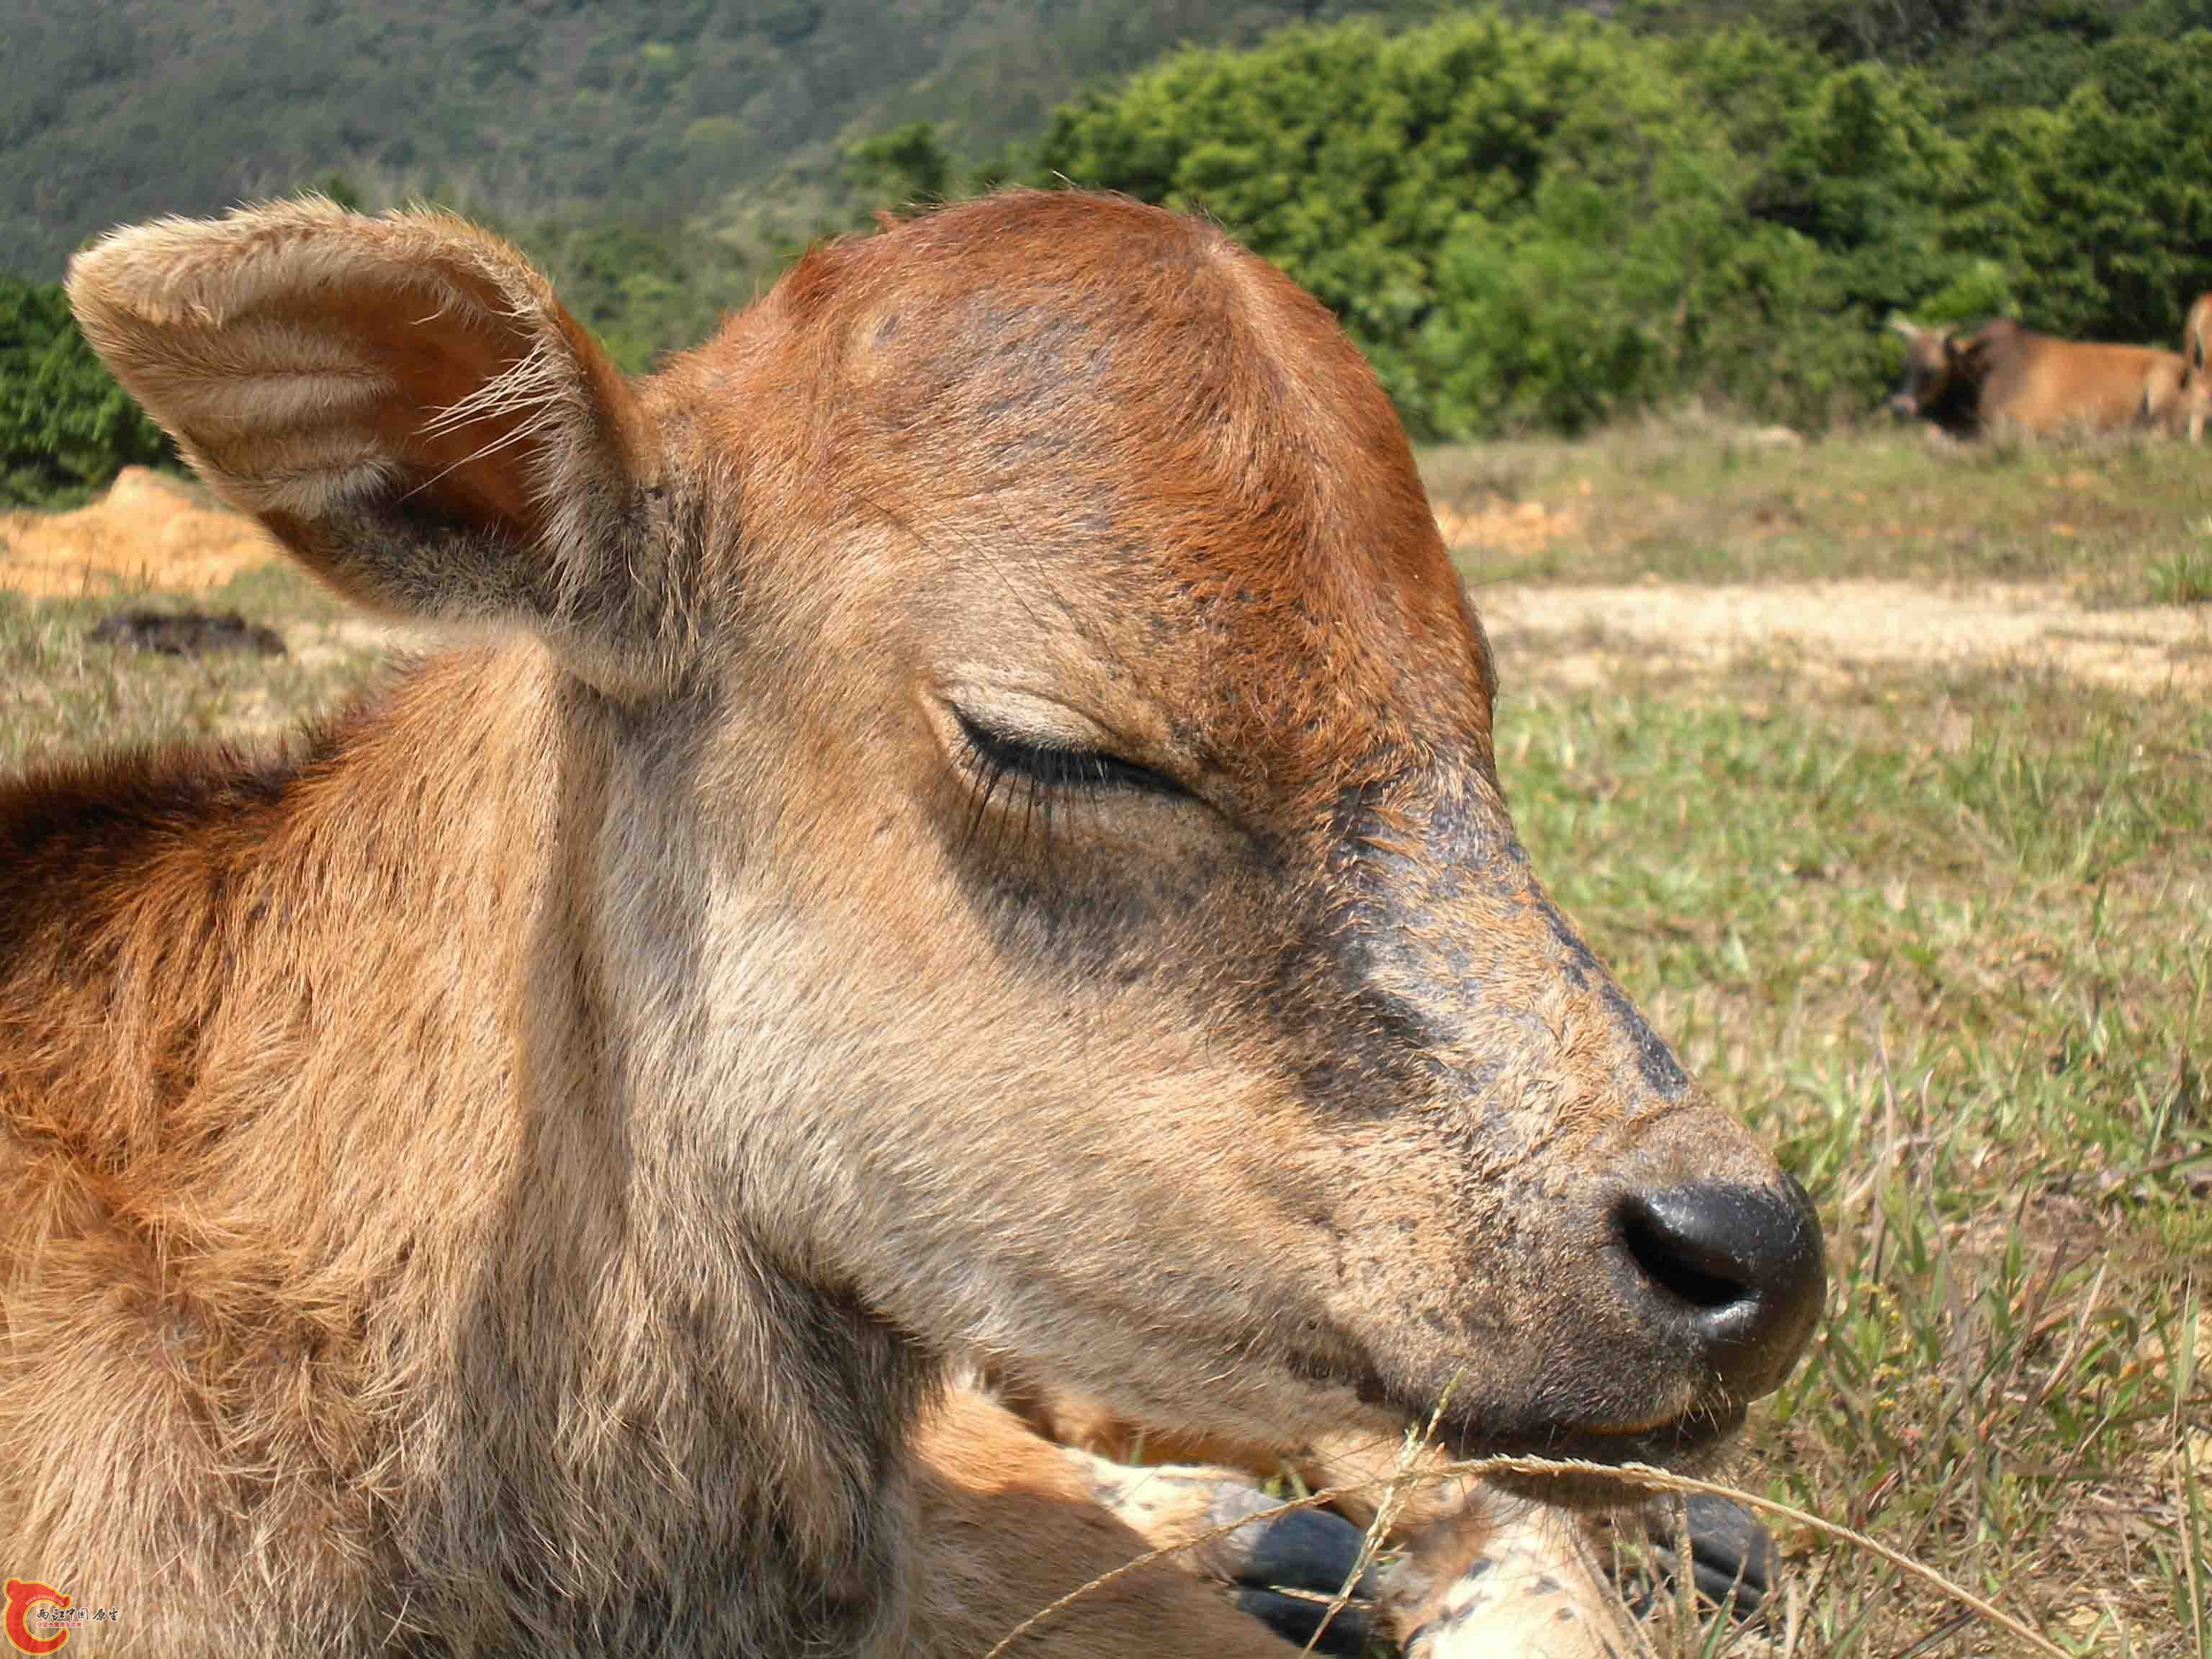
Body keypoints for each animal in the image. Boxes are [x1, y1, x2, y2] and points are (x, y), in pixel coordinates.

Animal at [1884, 318, 2194, 442]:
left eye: (1933, 368)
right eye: (1904, 365)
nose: (1900, 407)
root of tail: (2184, 364)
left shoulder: (2021, 423)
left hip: (2159, 382)